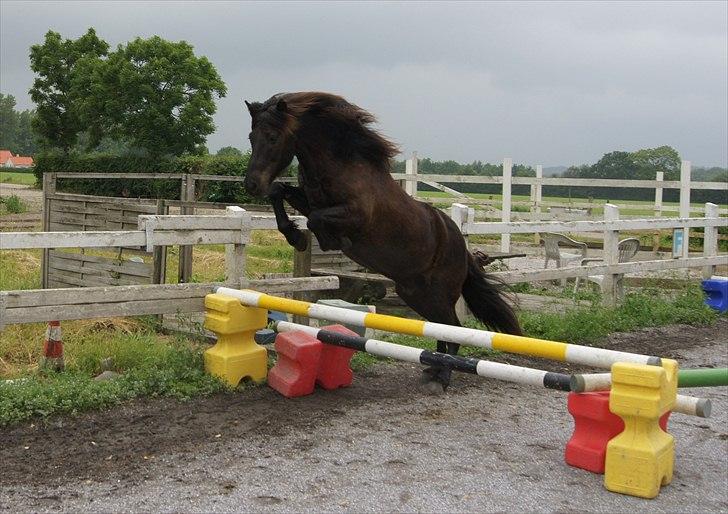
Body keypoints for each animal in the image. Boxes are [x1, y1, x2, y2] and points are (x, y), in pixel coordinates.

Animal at [246, 93, 524, 392]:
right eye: (251, 137)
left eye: (273, 137)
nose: (252, 184)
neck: (340, 166)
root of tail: (463, 248)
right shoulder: (307, 201)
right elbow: (279, 192)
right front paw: (294, 235)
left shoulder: (354, 214)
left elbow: (316, 221)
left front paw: (325, 239)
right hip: (417, 294)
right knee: (442, 327)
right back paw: (433, 370)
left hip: (439, 292)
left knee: (454, 328)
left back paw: (443, 377)